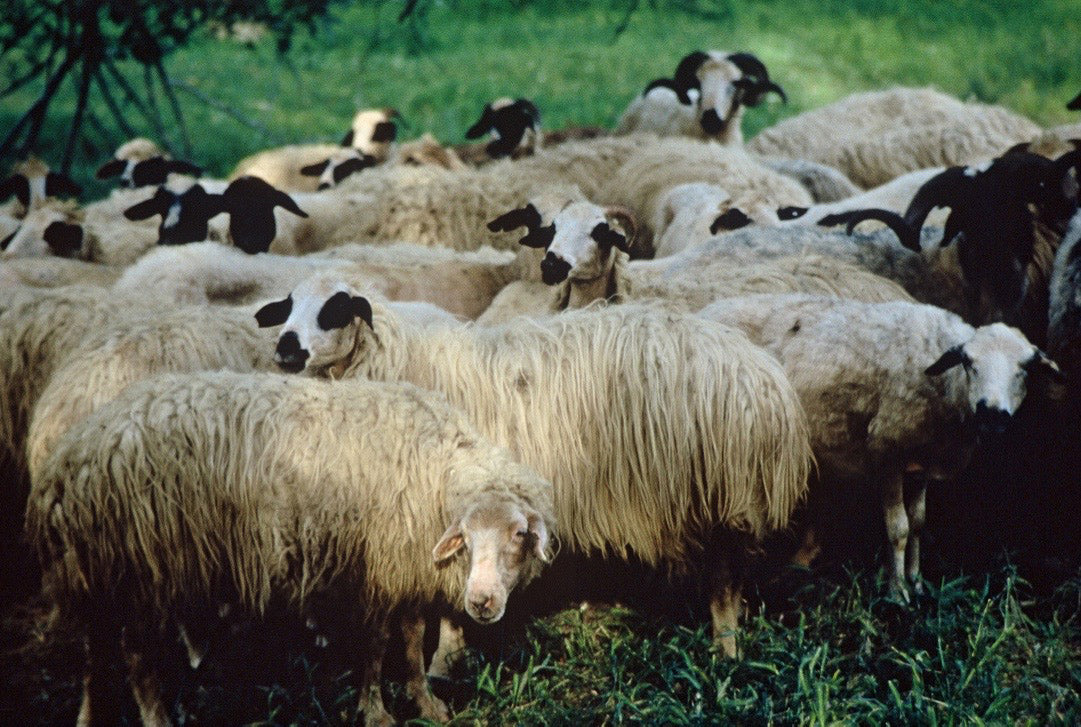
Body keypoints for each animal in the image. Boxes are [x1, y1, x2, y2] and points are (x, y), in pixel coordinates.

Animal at [27, 371, 555, 726]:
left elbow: (409, 641)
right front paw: (376, 710)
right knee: (137, 659)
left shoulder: (402, 568)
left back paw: (89, 716)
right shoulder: (377, 567)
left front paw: (425, 703)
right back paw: (157, 718)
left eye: (519, 535)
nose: (481, 602)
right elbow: (376, 645)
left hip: (102, 569)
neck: (436, 467)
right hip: (145, 567)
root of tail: (72, 459)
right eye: (468, 535)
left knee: (97, 654)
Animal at [254, 274, 814, 655]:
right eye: (287, 306)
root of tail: (768, 385)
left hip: (723, 492)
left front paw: (444, 657)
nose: (286, 347)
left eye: (336, 309)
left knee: (726, 579)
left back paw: (726, 649)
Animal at [699, 294, 1061, 600]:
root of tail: (706, 311)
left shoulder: (921, 463)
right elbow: (898, 528)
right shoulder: (887, 451)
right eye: (970, 363)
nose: (992, 413)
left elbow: (918, 522)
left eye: (1025, 369)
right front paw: (897, 591)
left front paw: (916, 581)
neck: (944, 384)